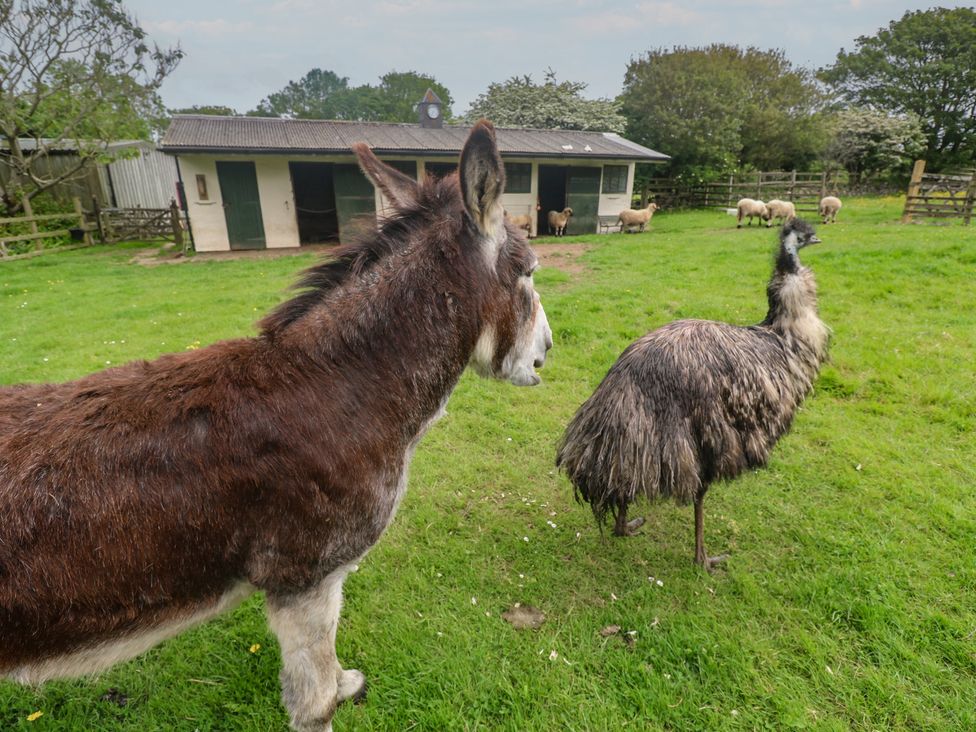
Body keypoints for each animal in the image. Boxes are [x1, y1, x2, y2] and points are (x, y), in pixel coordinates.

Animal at [557, 218, 829, 569]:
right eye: (806, 235)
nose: (819, 239)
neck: (783, 338)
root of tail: (623, 398)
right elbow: (701, 492)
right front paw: (705, 559)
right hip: (696, 438)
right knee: (696, 486)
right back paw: (701, 557)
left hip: (645, 447)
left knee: (626, 478)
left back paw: (624, 526)